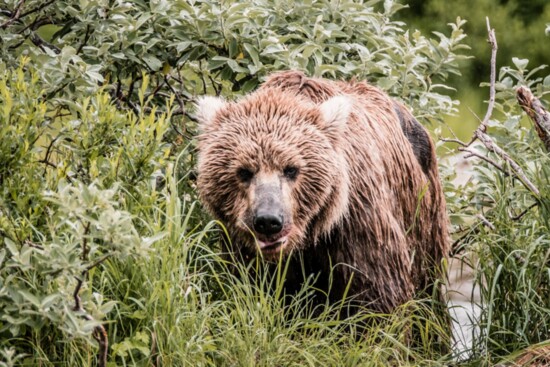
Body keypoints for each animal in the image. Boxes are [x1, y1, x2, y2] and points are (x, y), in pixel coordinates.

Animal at [196, 71, 450, 314]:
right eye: (244, 171)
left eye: (291, 169)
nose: (268, 221)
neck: (307, 238)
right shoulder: (242, 245)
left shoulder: (357, 223)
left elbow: (379, 295)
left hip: (424, 217)